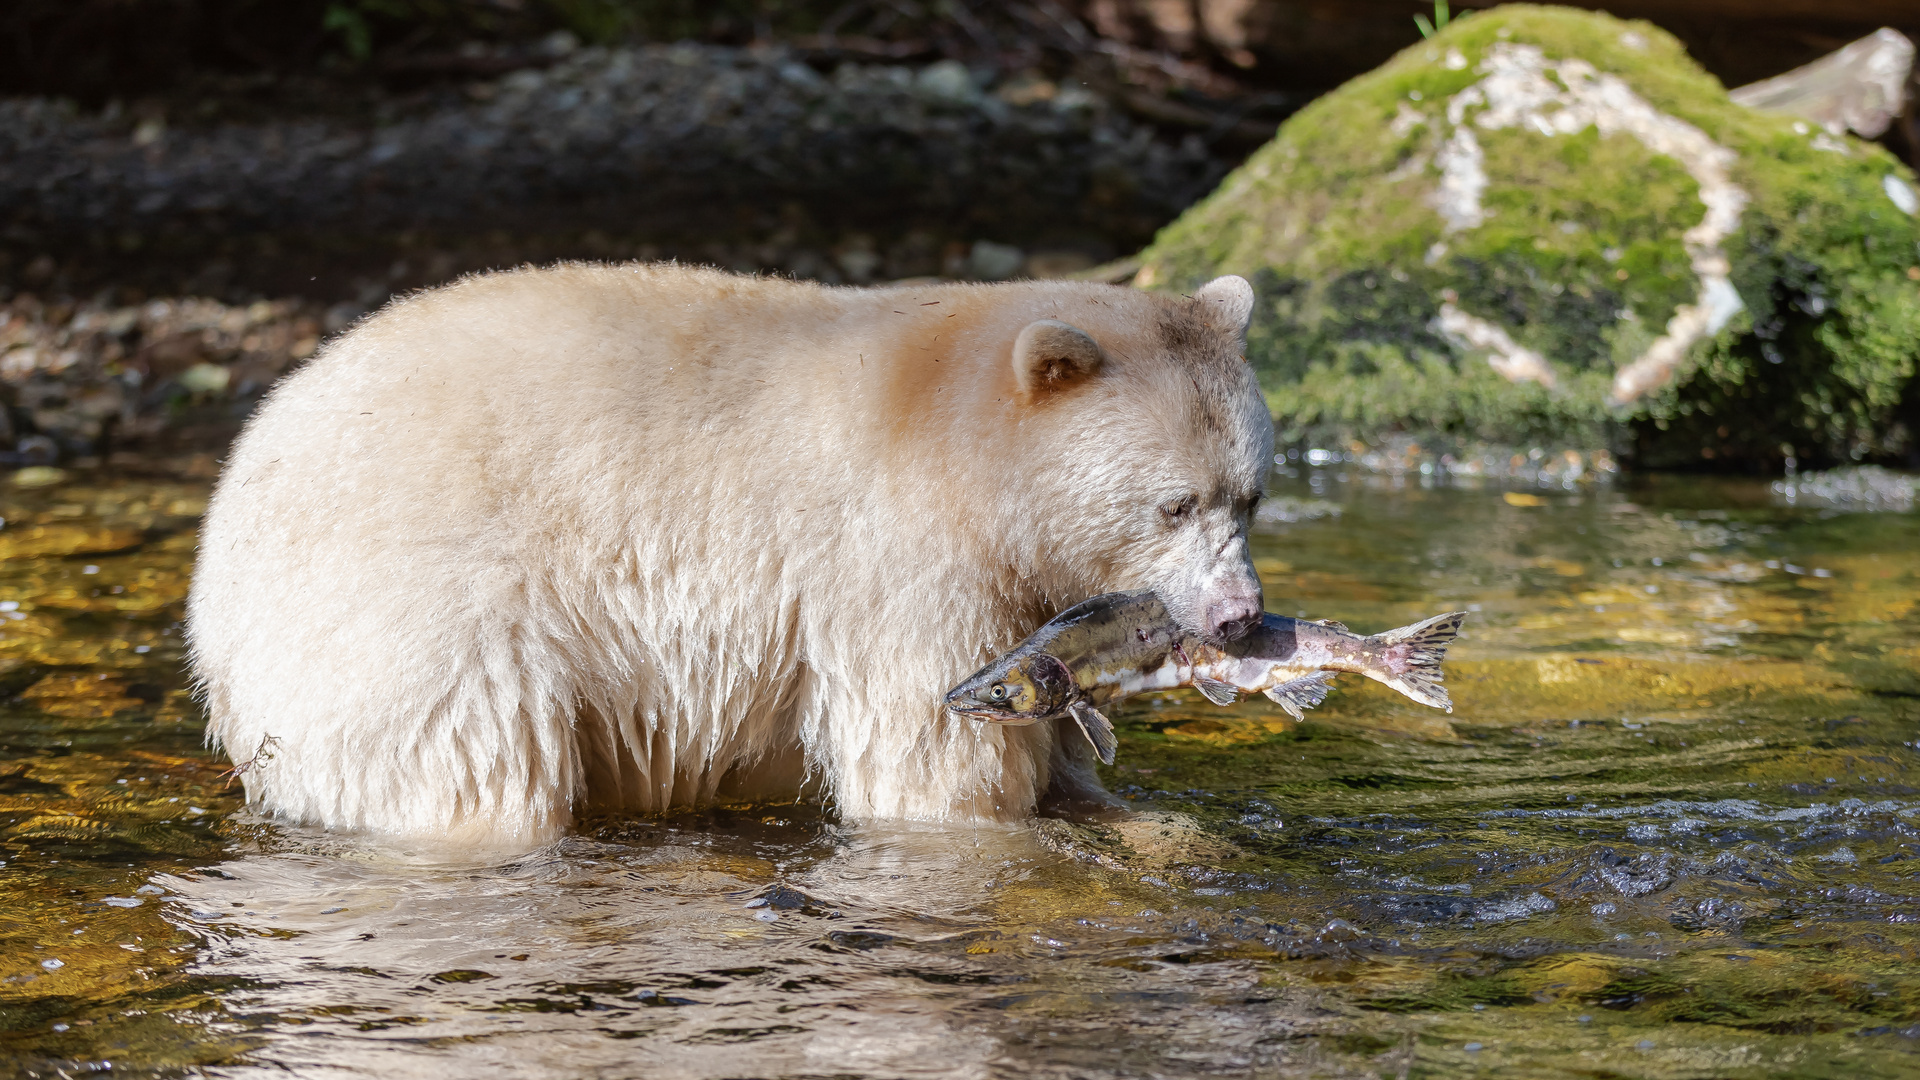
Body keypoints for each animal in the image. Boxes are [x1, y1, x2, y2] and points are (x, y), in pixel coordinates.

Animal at [191, 259, 1274, 841]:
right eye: (1175, 504)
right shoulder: (901, 561)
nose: (1239, 616)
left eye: (1251, 494)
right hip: (418, 615)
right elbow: (933, 757)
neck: (955, 440)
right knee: (475, 765)